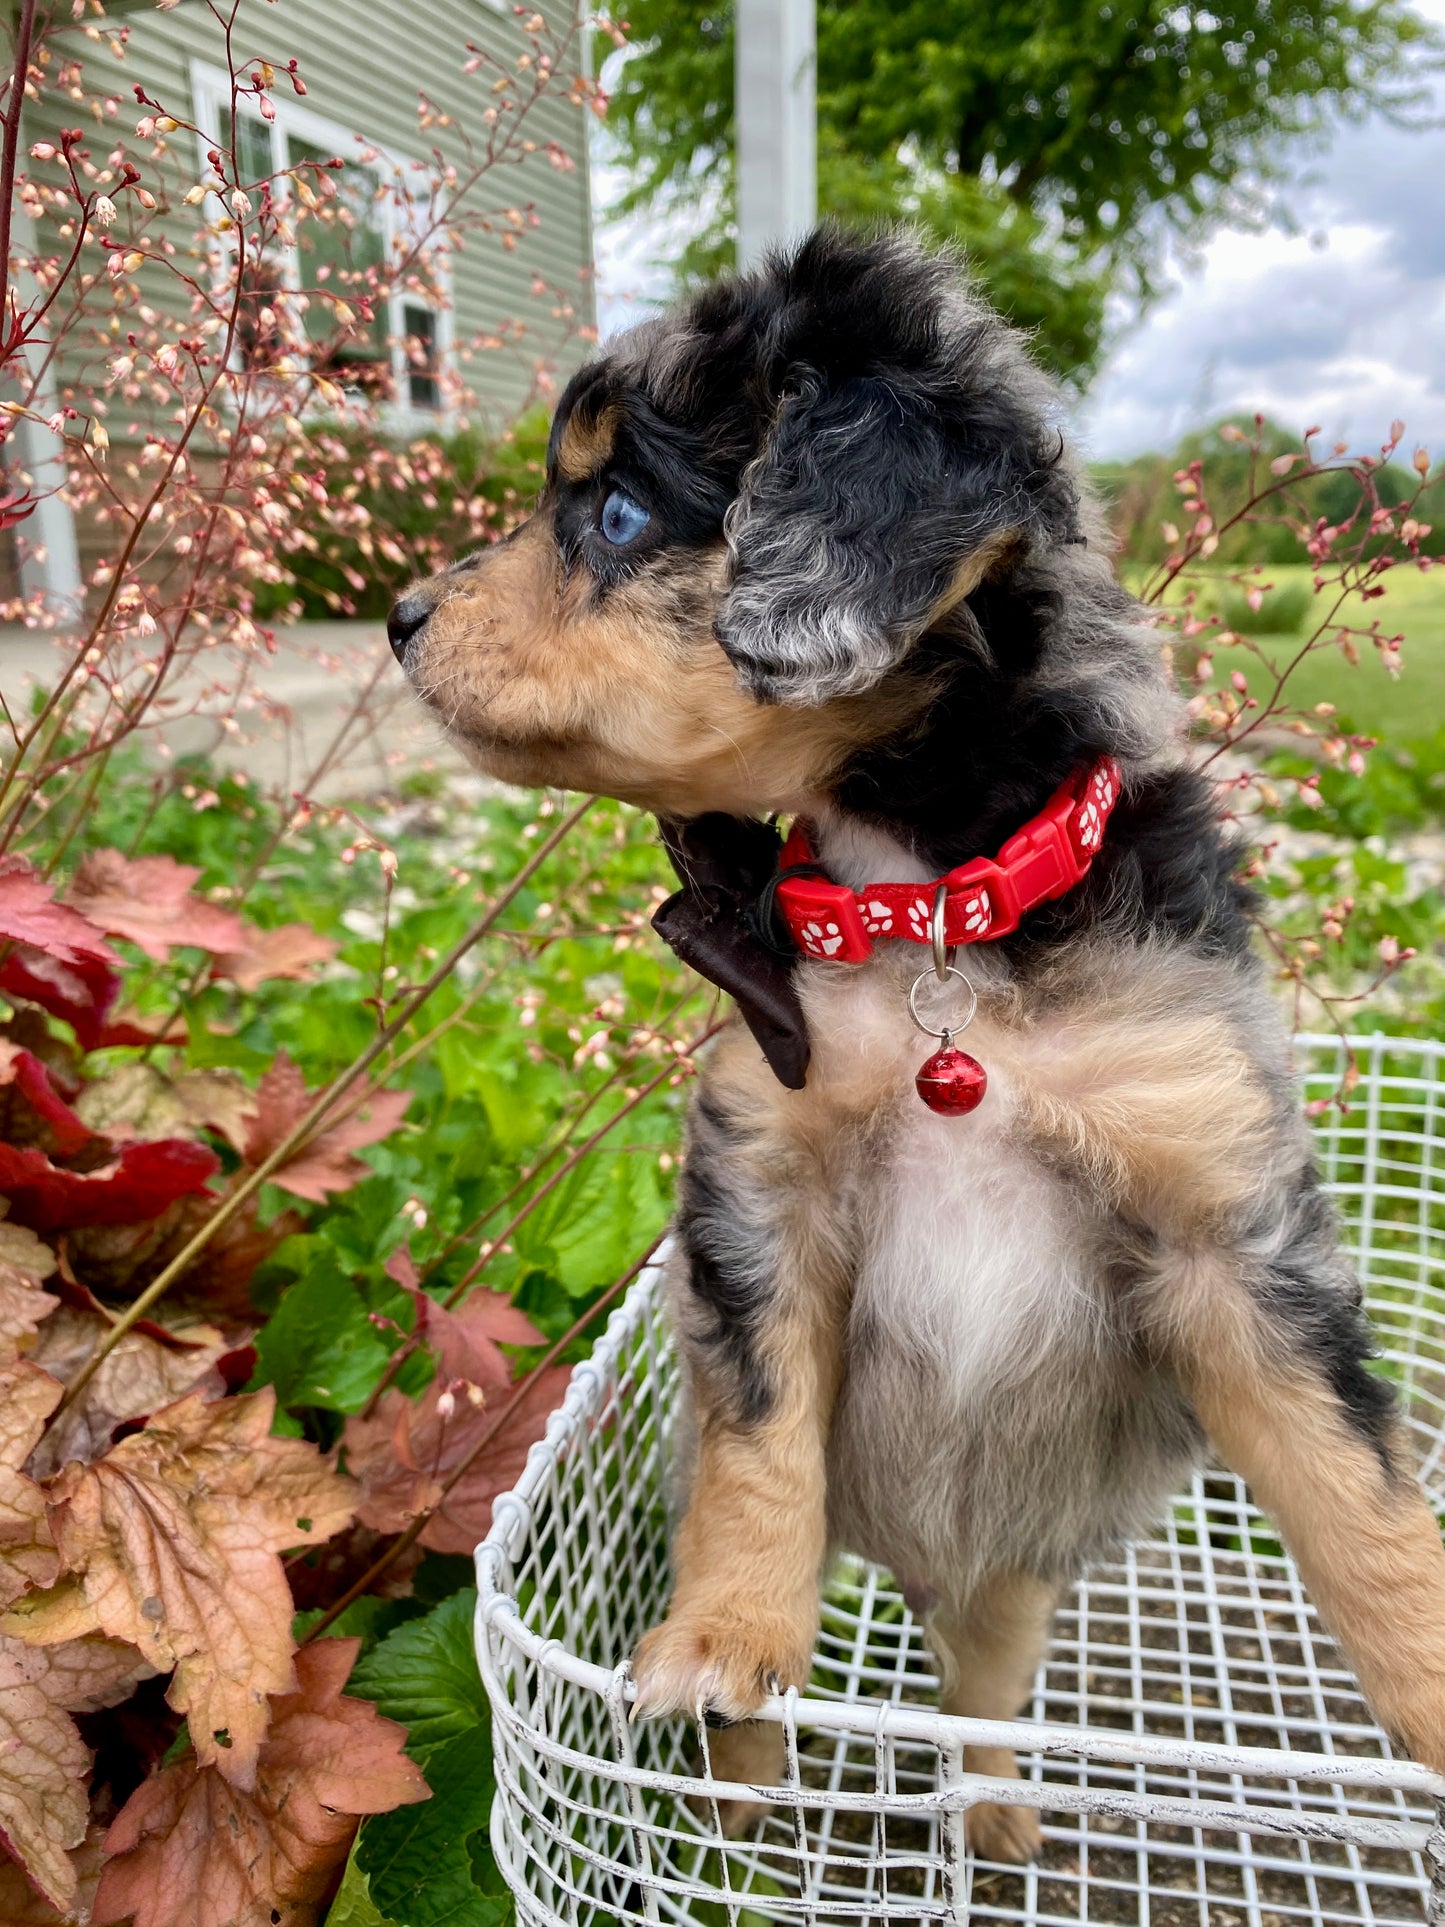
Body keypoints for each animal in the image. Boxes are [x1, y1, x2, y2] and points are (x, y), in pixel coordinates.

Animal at [391, 229, 1445, 1865]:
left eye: (616, 511)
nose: (394, 617)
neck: (935, 915)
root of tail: (916, 1567)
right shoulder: (758, 1188)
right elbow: (758, 1440)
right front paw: (723, 1636)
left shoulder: (1228, 1229)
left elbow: (1357, 1486)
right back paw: (740, 1807)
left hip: (1013, 1580)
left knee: (982, 1692)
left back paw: (997, 1812)